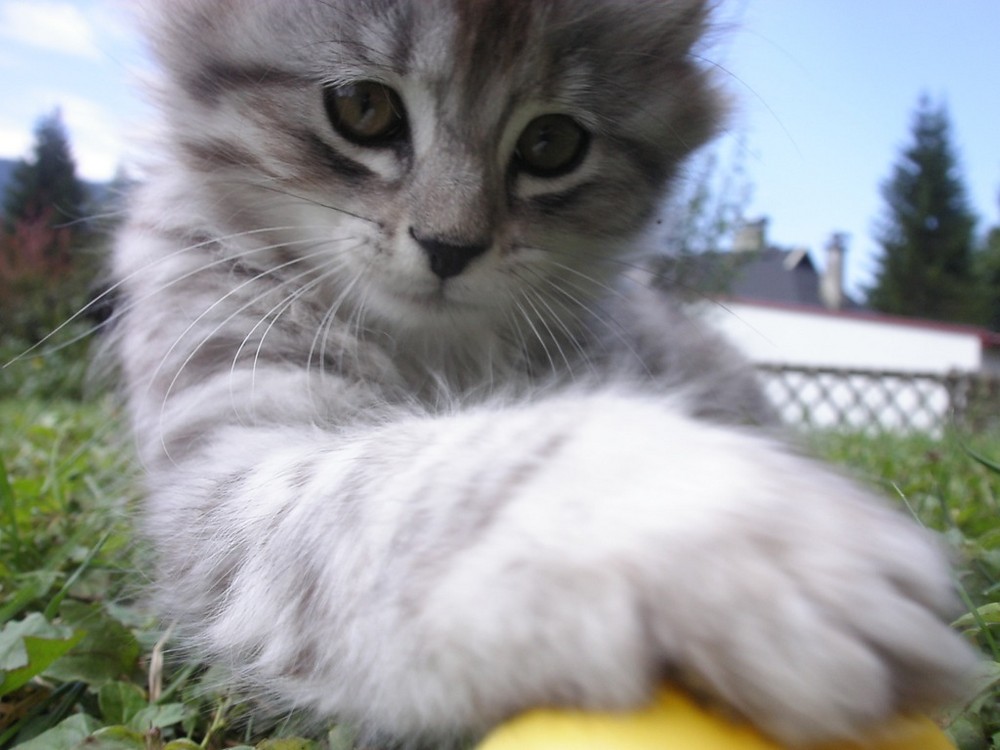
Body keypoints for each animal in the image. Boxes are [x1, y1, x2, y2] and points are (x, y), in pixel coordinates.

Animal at [111, 0, 976, 748]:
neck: (435, 352)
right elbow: (431, 477)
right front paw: (732, 527)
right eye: (363, 107)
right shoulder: (225, 446)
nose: (449, 246)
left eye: (552, 144)